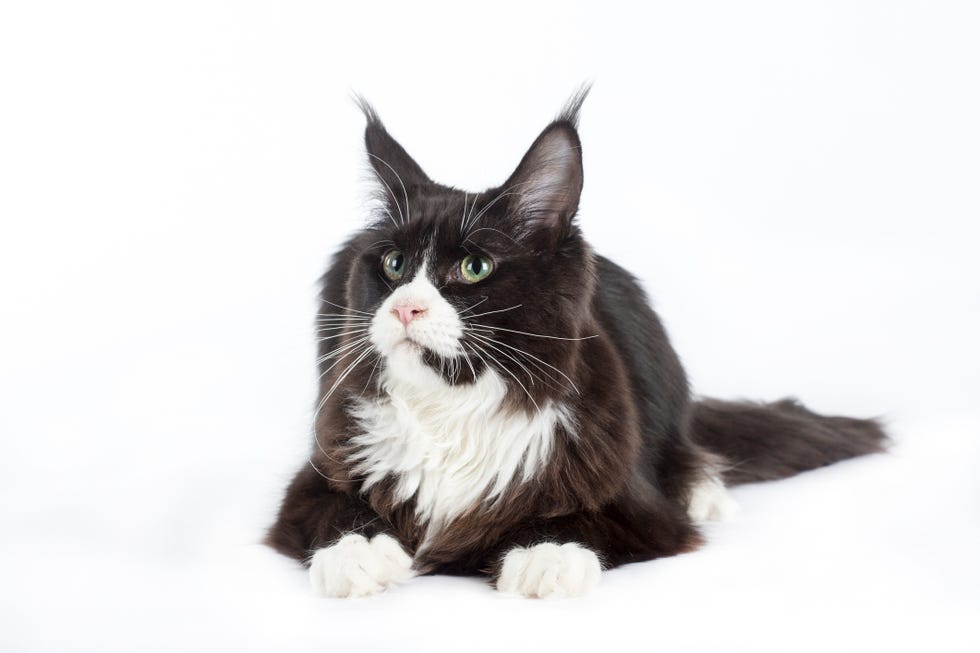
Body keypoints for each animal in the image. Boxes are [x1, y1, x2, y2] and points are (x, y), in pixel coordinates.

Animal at [266, 89, 888, 600]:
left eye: (474, 268)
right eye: (394, 265)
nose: (404, 308)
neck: (451, 407)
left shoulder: (635, 504)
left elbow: (576, 519)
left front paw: (544, 556)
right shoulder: (320, 472)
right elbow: (339, 512)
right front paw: (361, 557)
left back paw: (706, 493)